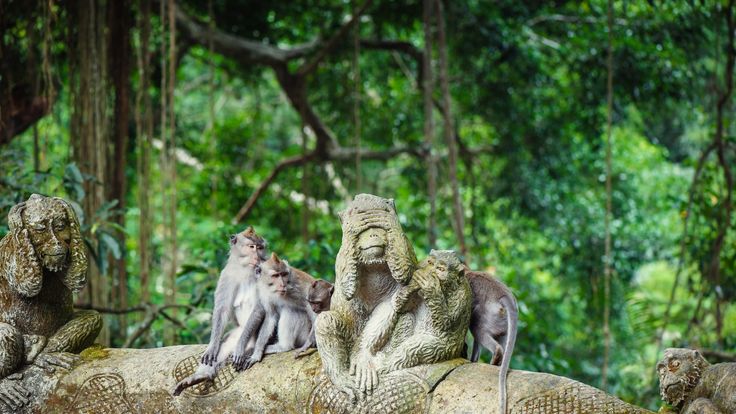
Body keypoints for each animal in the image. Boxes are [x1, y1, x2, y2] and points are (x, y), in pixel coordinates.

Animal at [171, 226, 267, 396]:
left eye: (260, 248)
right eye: (252, 247)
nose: (257, 256)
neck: (245, 270)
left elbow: (259, 308)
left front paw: (239, 348)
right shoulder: (226, 274)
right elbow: (222, 310)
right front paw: (211, 347)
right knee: (225, 344)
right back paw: (201, 376)